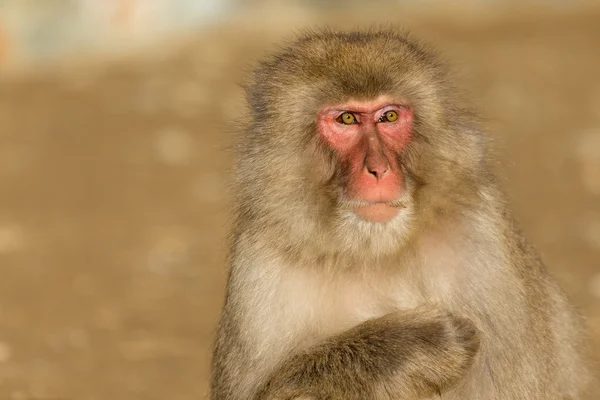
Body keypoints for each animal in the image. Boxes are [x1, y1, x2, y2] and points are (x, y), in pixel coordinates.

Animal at [210, 28, 592, 400]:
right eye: (347, 119)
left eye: (389, 116)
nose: (379, 169)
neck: (375, 250)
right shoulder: (260, 271)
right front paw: (409, 346)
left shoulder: (484, 245)